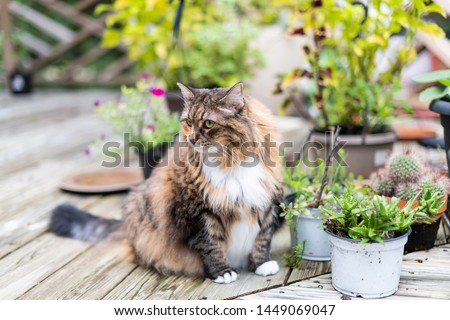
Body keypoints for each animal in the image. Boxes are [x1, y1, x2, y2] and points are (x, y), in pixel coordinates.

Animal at [51, 82, 284, 282]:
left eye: (208, 124)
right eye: (188, 122)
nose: (192, 139)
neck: (232, 162)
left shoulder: (265, 201)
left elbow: (262, 239)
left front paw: (262, 264)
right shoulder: (198, 211)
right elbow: (211, 244)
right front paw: (222, 272)